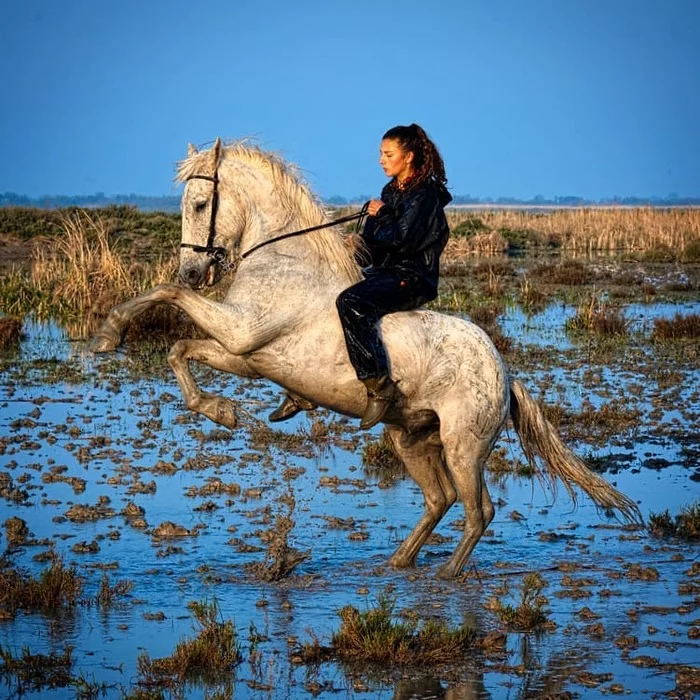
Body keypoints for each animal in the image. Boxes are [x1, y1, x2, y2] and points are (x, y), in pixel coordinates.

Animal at [91, 138, 640, 580]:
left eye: (201, 202)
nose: (193, 271)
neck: (284, 263)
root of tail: (503, 373)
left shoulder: (239, 333)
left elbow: (169, 298)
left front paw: (111, 333)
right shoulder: (246, 355)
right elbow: (178, 347)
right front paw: (222, 410)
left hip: (464, 445)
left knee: (478, 509)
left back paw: (447, 574)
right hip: (409, 438)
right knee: (439, 499)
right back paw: (397, 562)